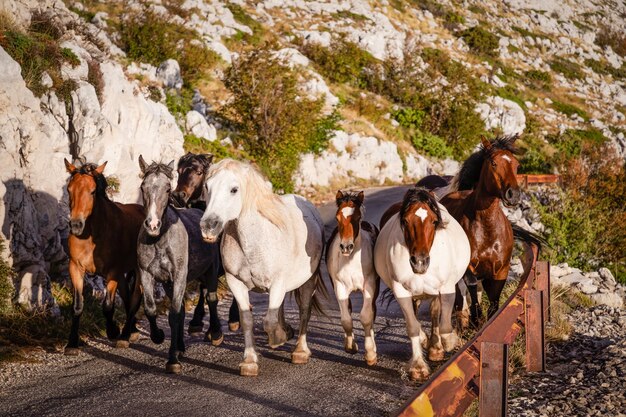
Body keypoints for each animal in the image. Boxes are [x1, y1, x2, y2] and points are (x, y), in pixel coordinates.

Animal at [64, 159, 145, 354]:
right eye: (69, 189)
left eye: (93, 191)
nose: (76, 225)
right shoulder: (75, 268)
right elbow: (77, 306)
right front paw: (71, 344)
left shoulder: (112, 272)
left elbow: (108, 306)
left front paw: (113, 331)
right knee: (127, 296)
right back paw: (131, 330)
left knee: (135, 298)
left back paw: (127, 334)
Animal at [168, 151, 239, 334]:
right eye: (178, 171)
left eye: (199, 172)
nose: (178, 196)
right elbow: (204, 289)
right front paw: (196, 320)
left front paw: (215, 329)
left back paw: (234, 317)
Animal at [199, 158, 326, 376]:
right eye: (207, 187)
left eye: (234, 189)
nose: (209, 226)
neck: (253, 242)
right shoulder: (236, 284)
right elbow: (247, 320)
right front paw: (249, 361)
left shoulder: (277, 283)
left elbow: (269, 321)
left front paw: (277, 339)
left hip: (309, 280)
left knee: (304, 310)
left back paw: (300, 351)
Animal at [324, 190, 378, 366]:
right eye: (337, 217)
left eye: (358, 217)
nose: (346, 247)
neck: (351, 260)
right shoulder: (340, 287)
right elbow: (346, 319)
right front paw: (350, 346)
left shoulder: (369, 286)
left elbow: (366, 317)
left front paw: (370, 354)